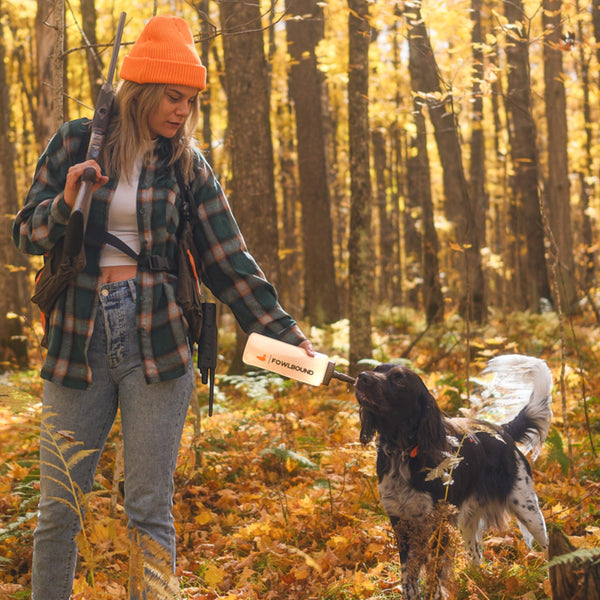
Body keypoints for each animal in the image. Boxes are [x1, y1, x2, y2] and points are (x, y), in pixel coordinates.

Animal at [356, 356, 552, 600]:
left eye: (399, 378)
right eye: (376, 369)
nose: (362, 377)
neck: (403, 452)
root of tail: (501, 430)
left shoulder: (438, 523)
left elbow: (434, 573)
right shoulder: (401, 522)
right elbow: (409, 577)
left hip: (528, 510)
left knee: (550, 549)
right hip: (467, 522)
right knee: (476, 557)